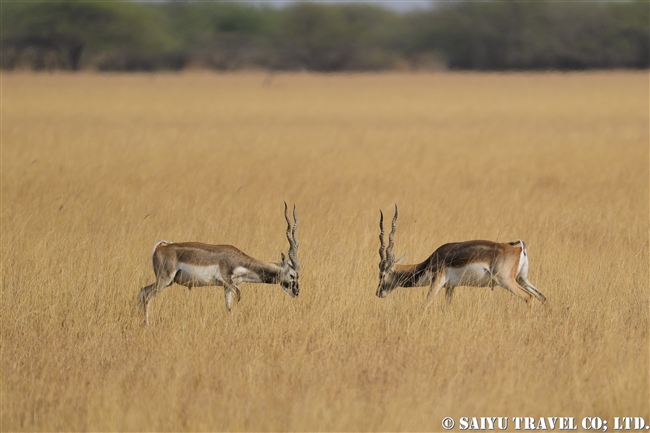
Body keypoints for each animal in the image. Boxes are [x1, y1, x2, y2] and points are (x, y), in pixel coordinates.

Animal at [138, 204, 300, 322]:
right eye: (292, 275)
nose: (297, 292)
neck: (240, 262)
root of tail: (160, 247)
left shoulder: (227, 287)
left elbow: (228, 309)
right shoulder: (228, 281)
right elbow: (237, 301)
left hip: (167, 282)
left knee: (142, 292)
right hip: (164, 280)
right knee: (147, 297)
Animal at [372, 205, 544, 308]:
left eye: (381, 274)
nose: (378, 293)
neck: (429, 262)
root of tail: (519, 249)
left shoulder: (437, 281)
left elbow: (426, 303)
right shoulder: (451, 287)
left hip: (506, 281)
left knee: (529, 297)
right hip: (522, 279)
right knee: (542, 297)